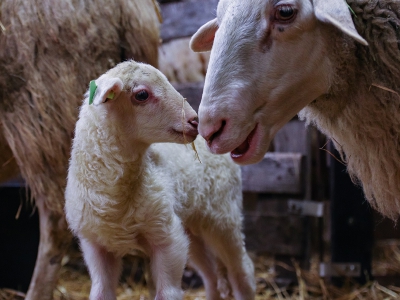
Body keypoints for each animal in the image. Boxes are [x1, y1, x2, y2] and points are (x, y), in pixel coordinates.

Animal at [64, 60, 255, 300]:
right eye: (142, 95)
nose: (194, 121)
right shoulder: (96, 245)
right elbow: (100, 292)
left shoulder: (168, 238)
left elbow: (168, 293)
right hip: (191, 228)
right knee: (210, 274)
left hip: (223, 216)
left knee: (242, 271)